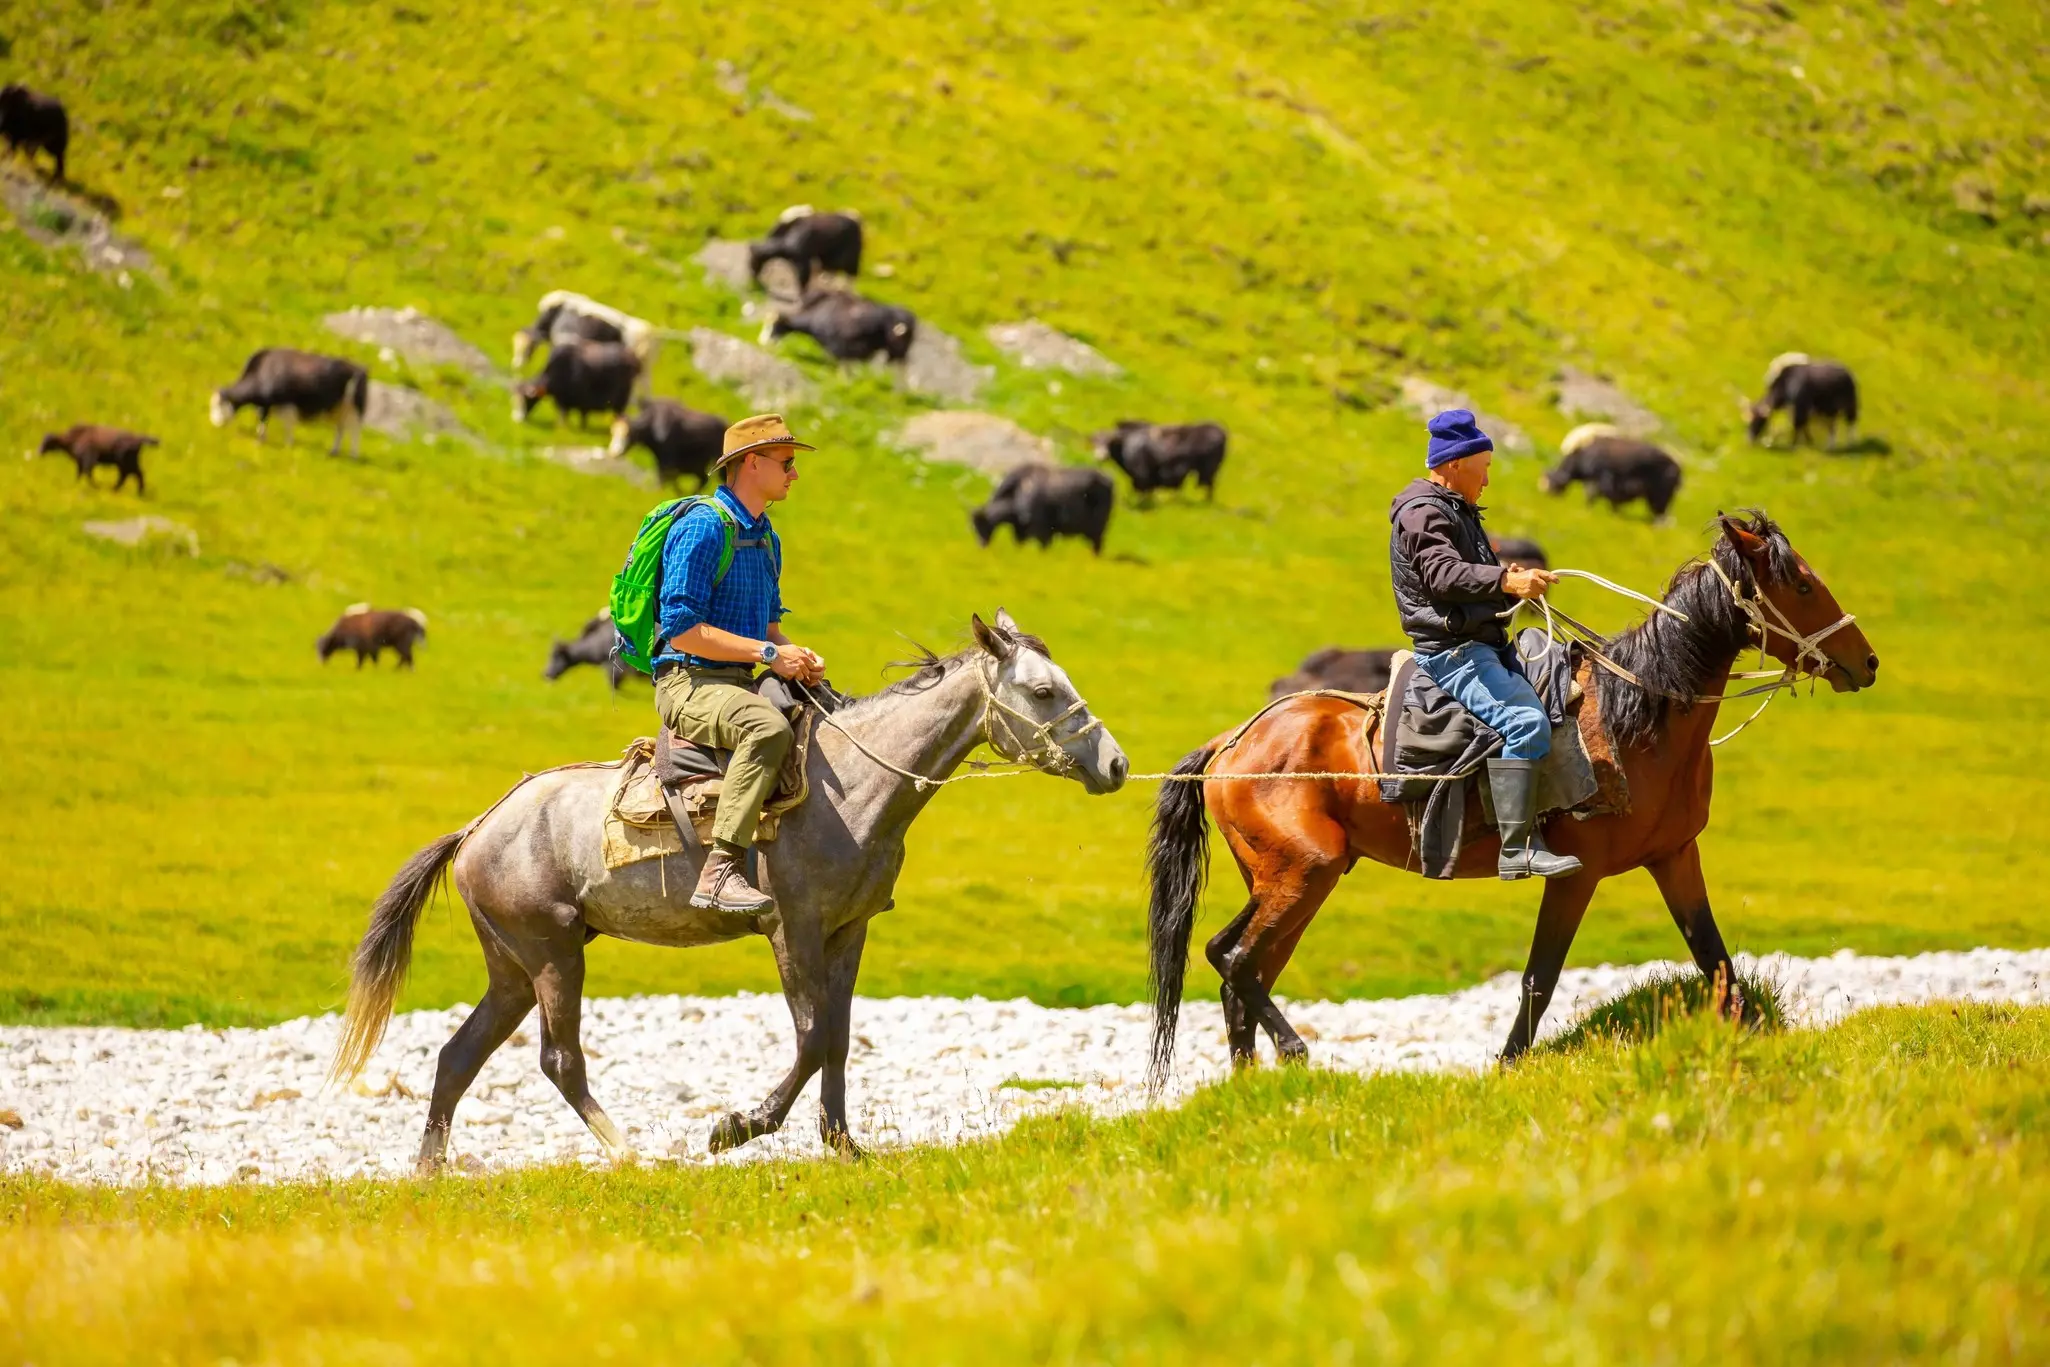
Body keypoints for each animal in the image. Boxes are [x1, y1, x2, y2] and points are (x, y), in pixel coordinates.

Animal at [330, 611, 1127, 1172]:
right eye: (1044, 690)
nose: (1116, 763)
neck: (855, 781)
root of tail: (477, 827)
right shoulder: (792, 928)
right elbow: (811, 1037)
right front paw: (736, 1127)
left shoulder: (849, 932)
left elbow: (838, 1040)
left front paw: (843, 1144)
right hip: (554, 956)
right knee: (559, 1059)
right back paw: (630, 1153)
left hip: (513, 969)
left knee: (457, 1056)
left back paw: (431, 1170)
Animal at [1145, 512, 1877, 1080]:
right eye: (1802, 583)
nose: (1867, 662)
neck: (1633, 715)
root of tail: (1231, 744)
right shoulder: (1576, 875)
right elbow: (1539, 978)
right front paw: (1507, 1064)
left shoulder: (1674, 856)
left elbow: (1715, 960)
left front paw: (1759, 1039)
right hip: (1305, 872)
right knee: (1238, 962)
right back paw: (1295, 1053)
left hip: (1292, 880)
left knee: (1235, 967)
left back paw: (1253, 1084)